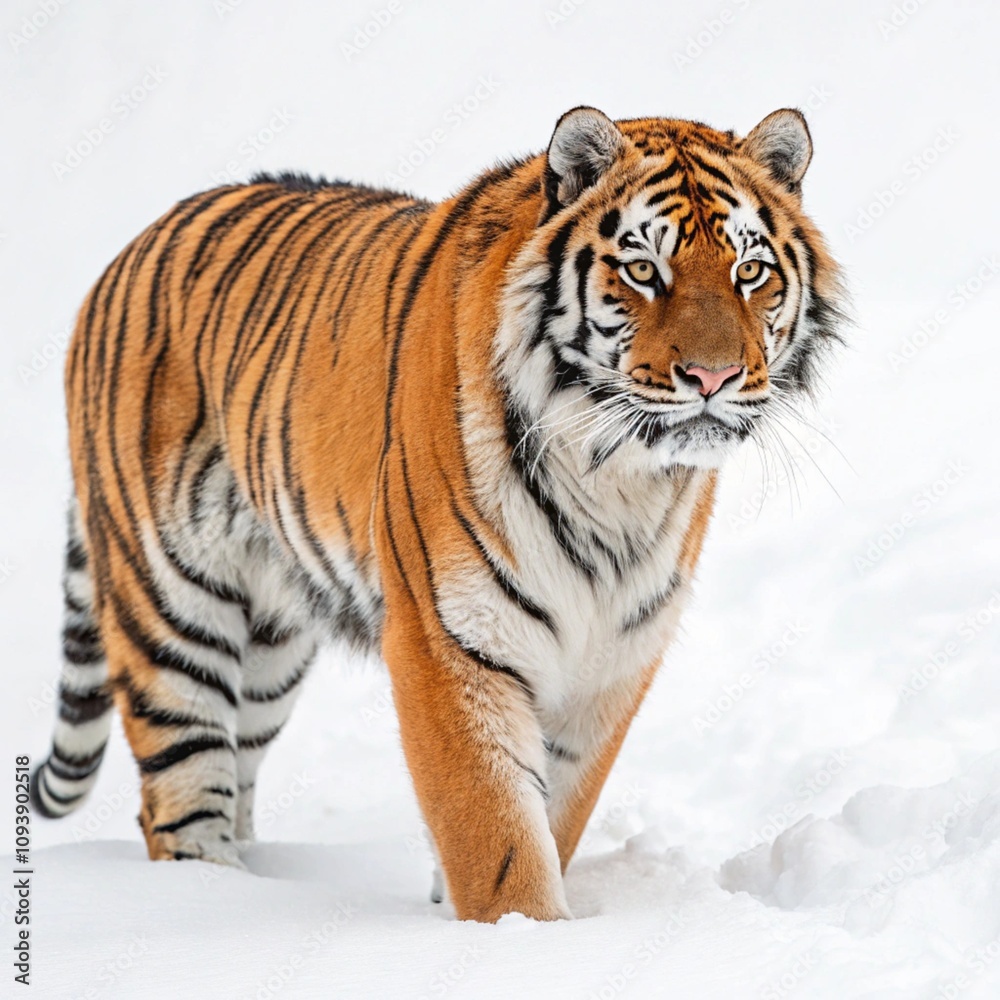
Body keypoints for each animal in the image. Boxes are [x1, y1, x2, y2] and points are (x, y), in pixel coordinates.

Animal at [32, 105, 844, 922]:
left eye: (750, 272)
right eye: (643, 270)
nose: (715, 376)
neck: (617, 478)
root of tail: (129, 251)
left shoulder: (613, 657)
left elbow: (556, 814)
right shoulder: (448, 637)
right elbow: (496, 831)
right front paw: (520, 929)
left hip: (269, 650)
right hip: (171, 606)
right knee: (178, 790)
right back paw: (205, 893)